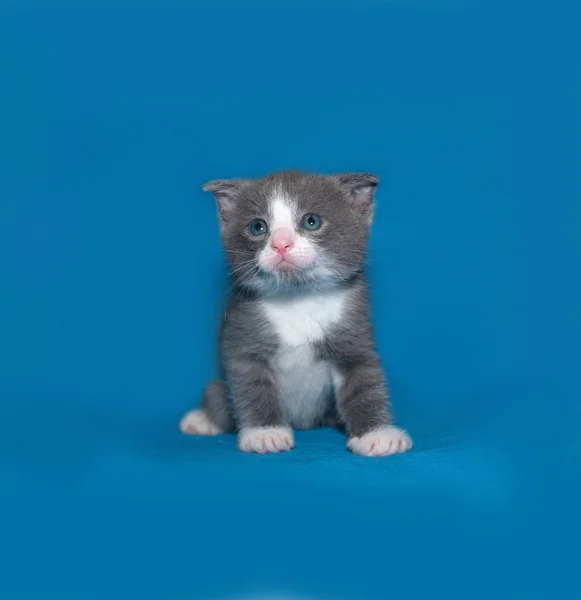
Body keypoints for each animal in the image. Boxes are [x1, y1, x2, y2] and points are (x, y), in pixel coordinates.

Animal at [179, 171, 410, 458]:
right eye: (258, 227)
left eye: (312, 221)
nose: (281, 244)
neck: (298, 299)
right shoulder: (242, 335)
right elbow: (251, 385)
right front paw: (266, 433)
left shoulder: (354, 335)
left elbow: (364, 381)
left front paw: (376, 435)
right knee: (217, 392)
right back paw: (203, 419)